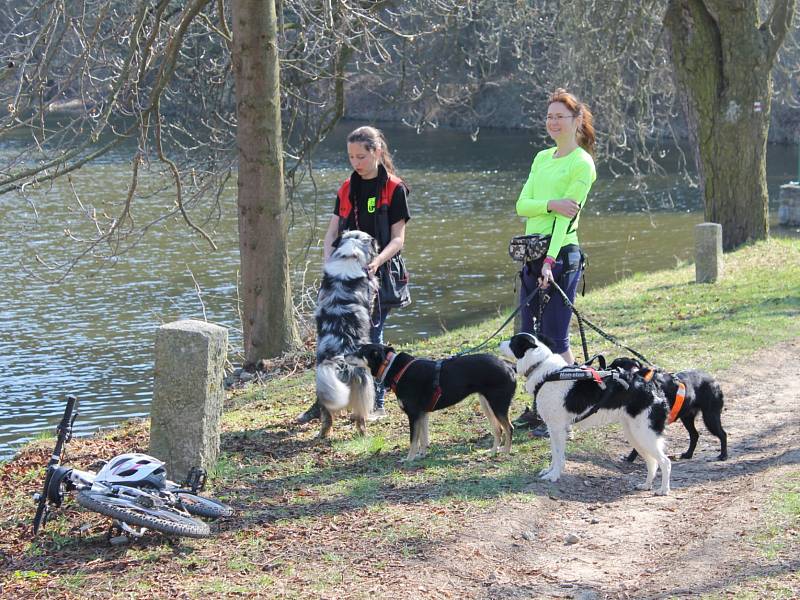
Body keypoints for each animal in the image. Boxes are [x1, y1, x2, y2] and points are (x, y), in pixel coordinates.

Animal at [314, 230, 380, 436]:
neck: (349, 255)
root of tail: (340, 359)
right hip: (364, 382)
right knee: (360, 416)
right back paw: (364, 432)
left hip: (324, 385)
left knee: (327, 416)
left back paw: (323, 434)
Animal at [354, 342, 516, 460]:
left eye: (359, 352)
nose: (347, 354)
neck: (394, 368)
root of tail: (509, 366)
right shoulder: (422, 414)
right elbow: (424, 439)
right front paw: (421, 455)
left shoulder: (413, 415)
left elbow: (413, 440)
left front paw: (409, 459)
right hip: (487, 404)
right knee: (498, 429)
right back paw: (493, 452)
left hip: (498, 405)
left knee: (509, 428)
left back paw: (506, 452)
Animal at [504, 332, 672, 496]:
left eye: (512, 341)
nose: (500, 343)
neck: (545, 371)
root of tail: (653, 387)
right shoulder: (553, 429)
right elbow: (555, 454)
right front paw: (550, 471)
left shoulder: (558, 429)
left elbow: (558, 456)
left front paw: (554, 476)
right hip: (636, 435)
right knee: (652, 462)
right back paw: (646, 485)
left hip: (644, 435)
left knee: (665, 462)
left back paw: (663, 490)